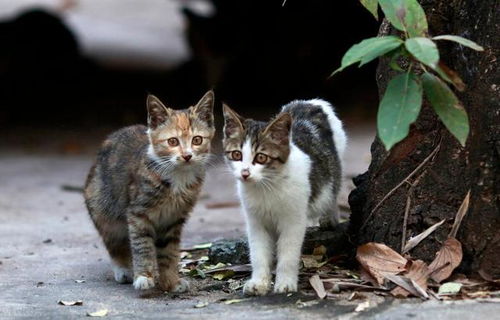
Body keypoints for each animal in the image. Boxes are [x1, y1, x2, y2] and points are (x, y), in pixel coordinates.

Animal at [85, 91, 214, 292]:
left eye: (197, 140)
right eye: (173, 141)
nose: (187, 156)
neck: (178, 176)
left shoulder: (173, 218)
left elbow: (169, 251)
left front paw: (171, 281)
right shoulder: (137, 213)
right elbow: (141, 245)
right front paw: (143, 276)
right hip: (104, 210)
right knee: (115, 241)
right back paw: (123, 268)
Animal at [221, 99, 346, 296]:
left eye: (261, 157)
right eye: (236, 155)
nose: (245, 173)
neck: (266, 186)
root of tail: (309, 102)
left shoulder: (293, 221)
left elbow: (288, 253)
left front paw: (286, 282)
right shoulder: (255, 221)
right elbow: (258, 253)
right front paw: (259, 282)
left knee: (334, 186)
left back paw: (330, 216)